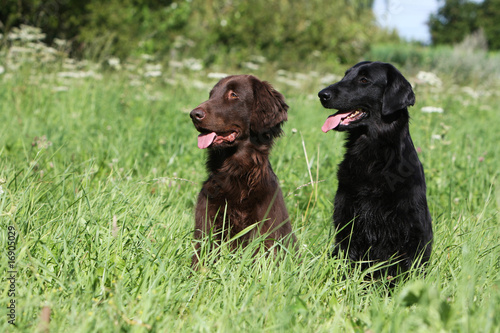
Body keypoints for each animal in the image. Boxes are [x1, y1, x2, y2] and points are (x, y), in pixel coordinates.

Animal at [320, 61, 434, 276]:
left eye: (364, 80)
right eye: (345, 75)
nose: (322, 94)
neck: (373, 158)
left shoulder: (411, 228)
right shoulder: (347, 219)